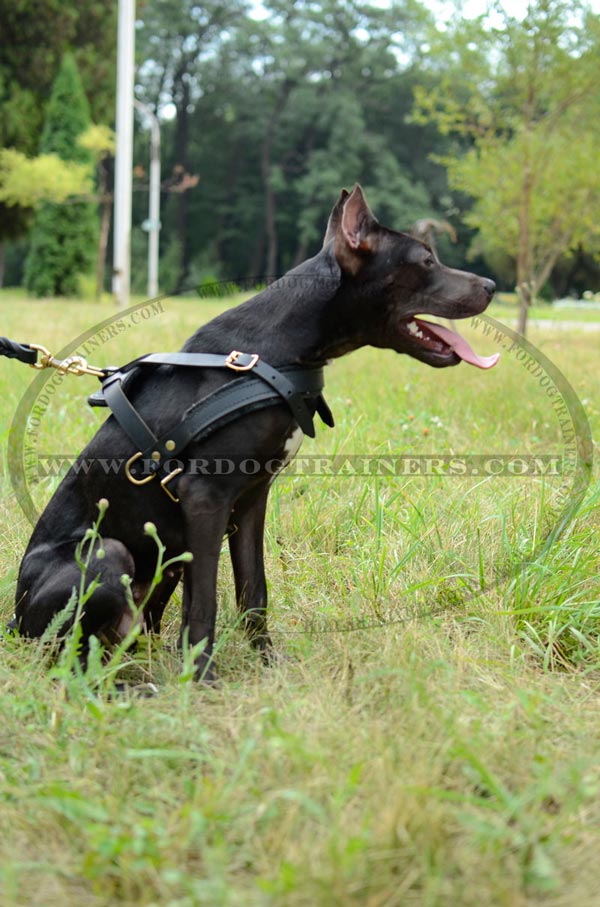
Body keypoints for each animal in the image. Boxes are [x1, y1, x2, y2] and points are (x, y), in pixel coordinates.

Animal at [12, 186, 496, 680]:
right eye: (426, 260)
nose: (492, 287)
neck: (274, 356)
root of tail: (14, 619)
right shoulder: (205, 497)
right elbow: (204, 605)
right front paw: (202, 680)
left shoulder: (249, 500)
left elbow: (253, 591)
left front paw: (266, 665)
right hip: (106, 553)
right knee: (72, 657)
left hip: (167, 559)